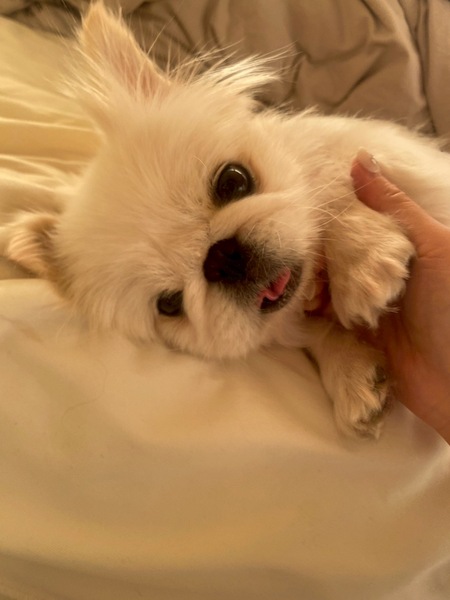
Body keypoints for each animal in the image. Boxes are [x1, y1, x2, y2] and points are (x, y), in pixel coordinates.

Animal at [2, 3, 450, 438]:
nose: (221, 258)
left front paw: (361, 265)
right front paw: (353, 374)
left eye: (233, 181)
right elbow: (312, 331)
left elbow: (331, 186)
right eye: (170, 304)